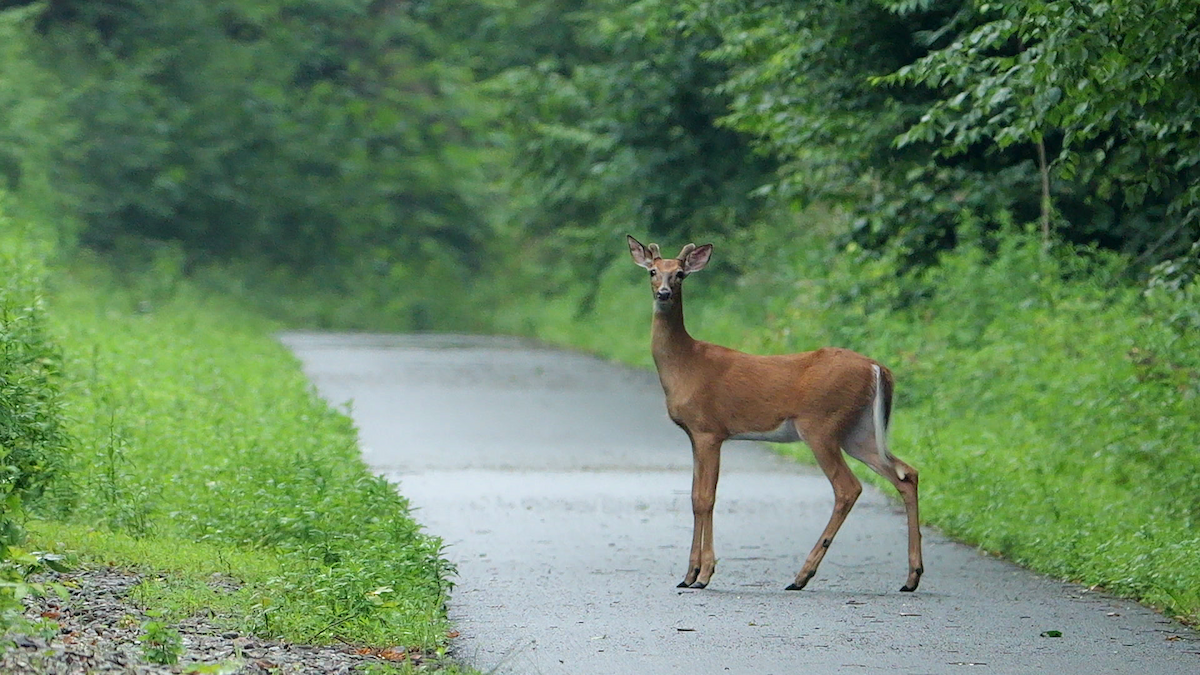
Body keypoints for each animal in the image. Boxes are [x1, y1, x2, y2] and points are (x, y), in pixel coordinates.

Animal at [626, 235, 923, 592]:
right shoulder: (696, 435)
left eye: (680, 274)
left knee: (848, 487)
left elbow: (705, 498)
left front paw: (702, 574)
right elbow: (695, 497)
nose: (664, 293)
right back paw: (911, 577)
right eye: (653, 271)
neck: (685, 365)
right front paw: (689, 575)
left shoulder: (709, 430)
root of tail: (878, 368)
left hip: (821, 425)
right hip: (859, 431)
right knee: (907, 474)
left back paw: (801, 576)